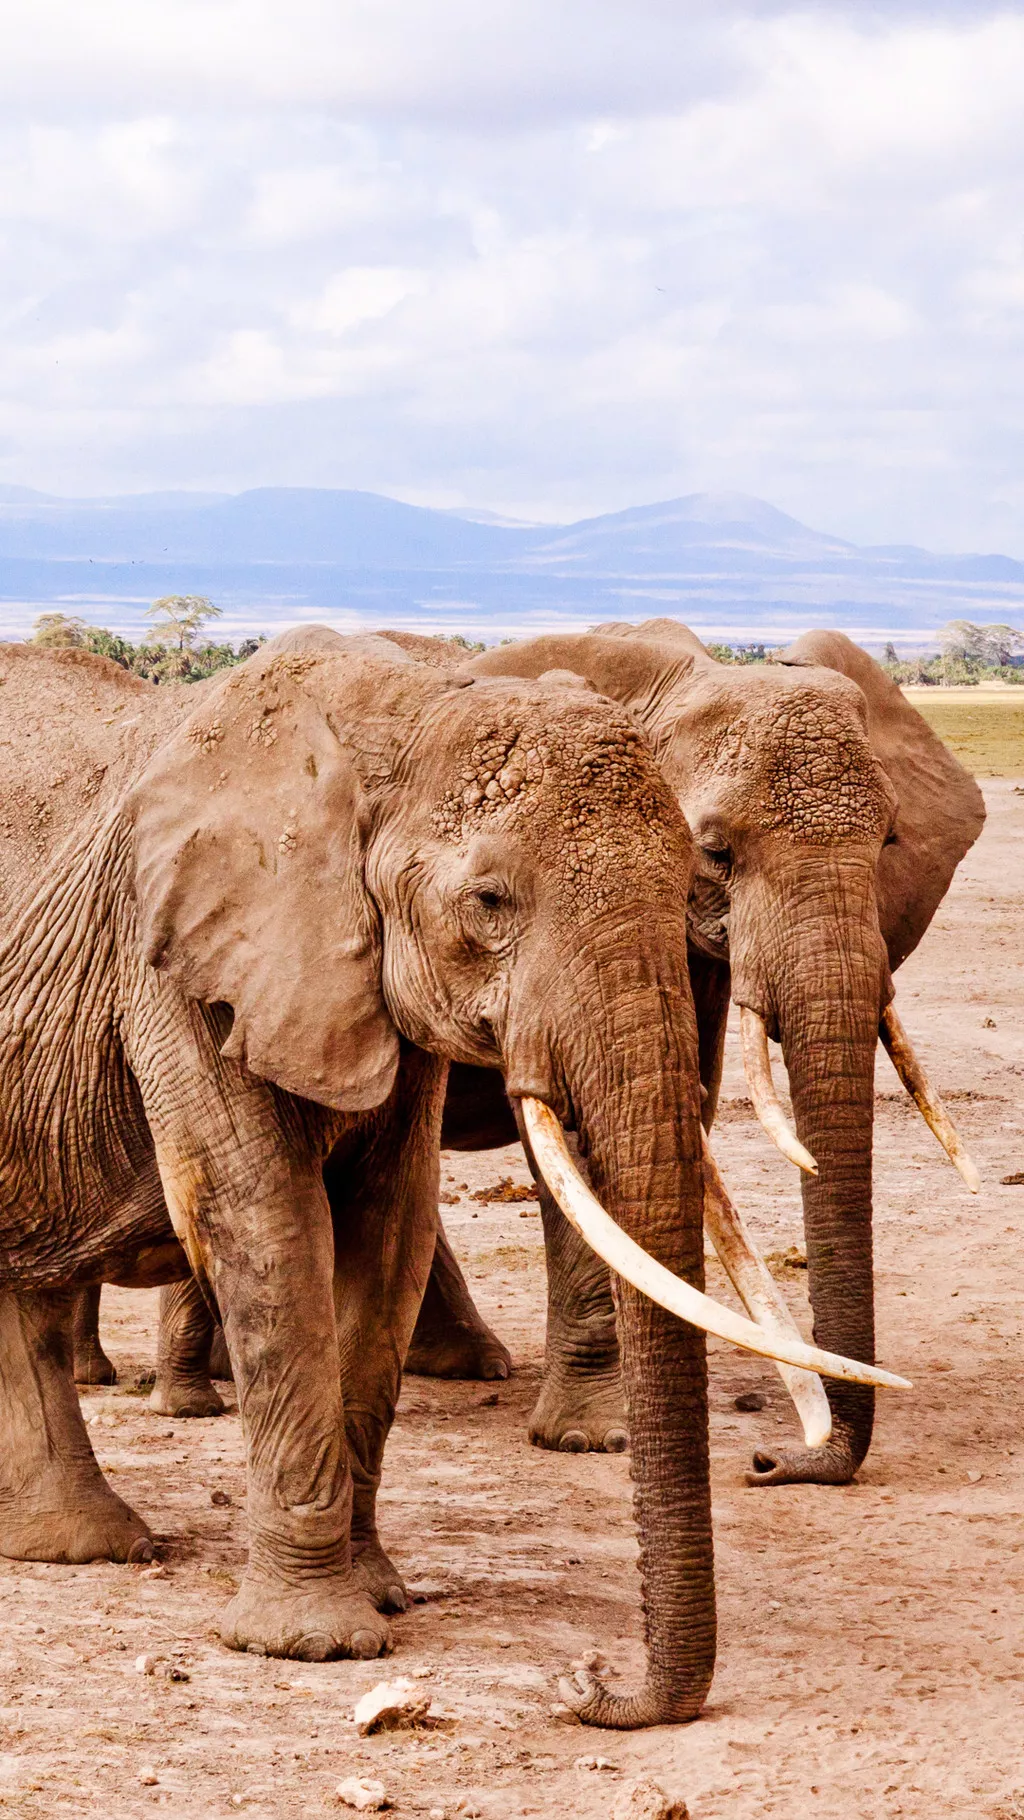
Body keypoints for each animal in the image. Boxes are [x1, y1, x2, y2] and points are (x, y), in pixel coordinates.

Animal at [0, 633, 902, 1725]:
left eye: (694, 872)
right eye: (489, 902)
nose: (590, 1680)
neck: (389, 722)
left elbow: (387, 1235)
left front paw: (379, 1592)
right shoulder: (177, 964)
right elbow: (267, 1226)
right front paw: (315, 1642)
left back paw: (76, 1543)